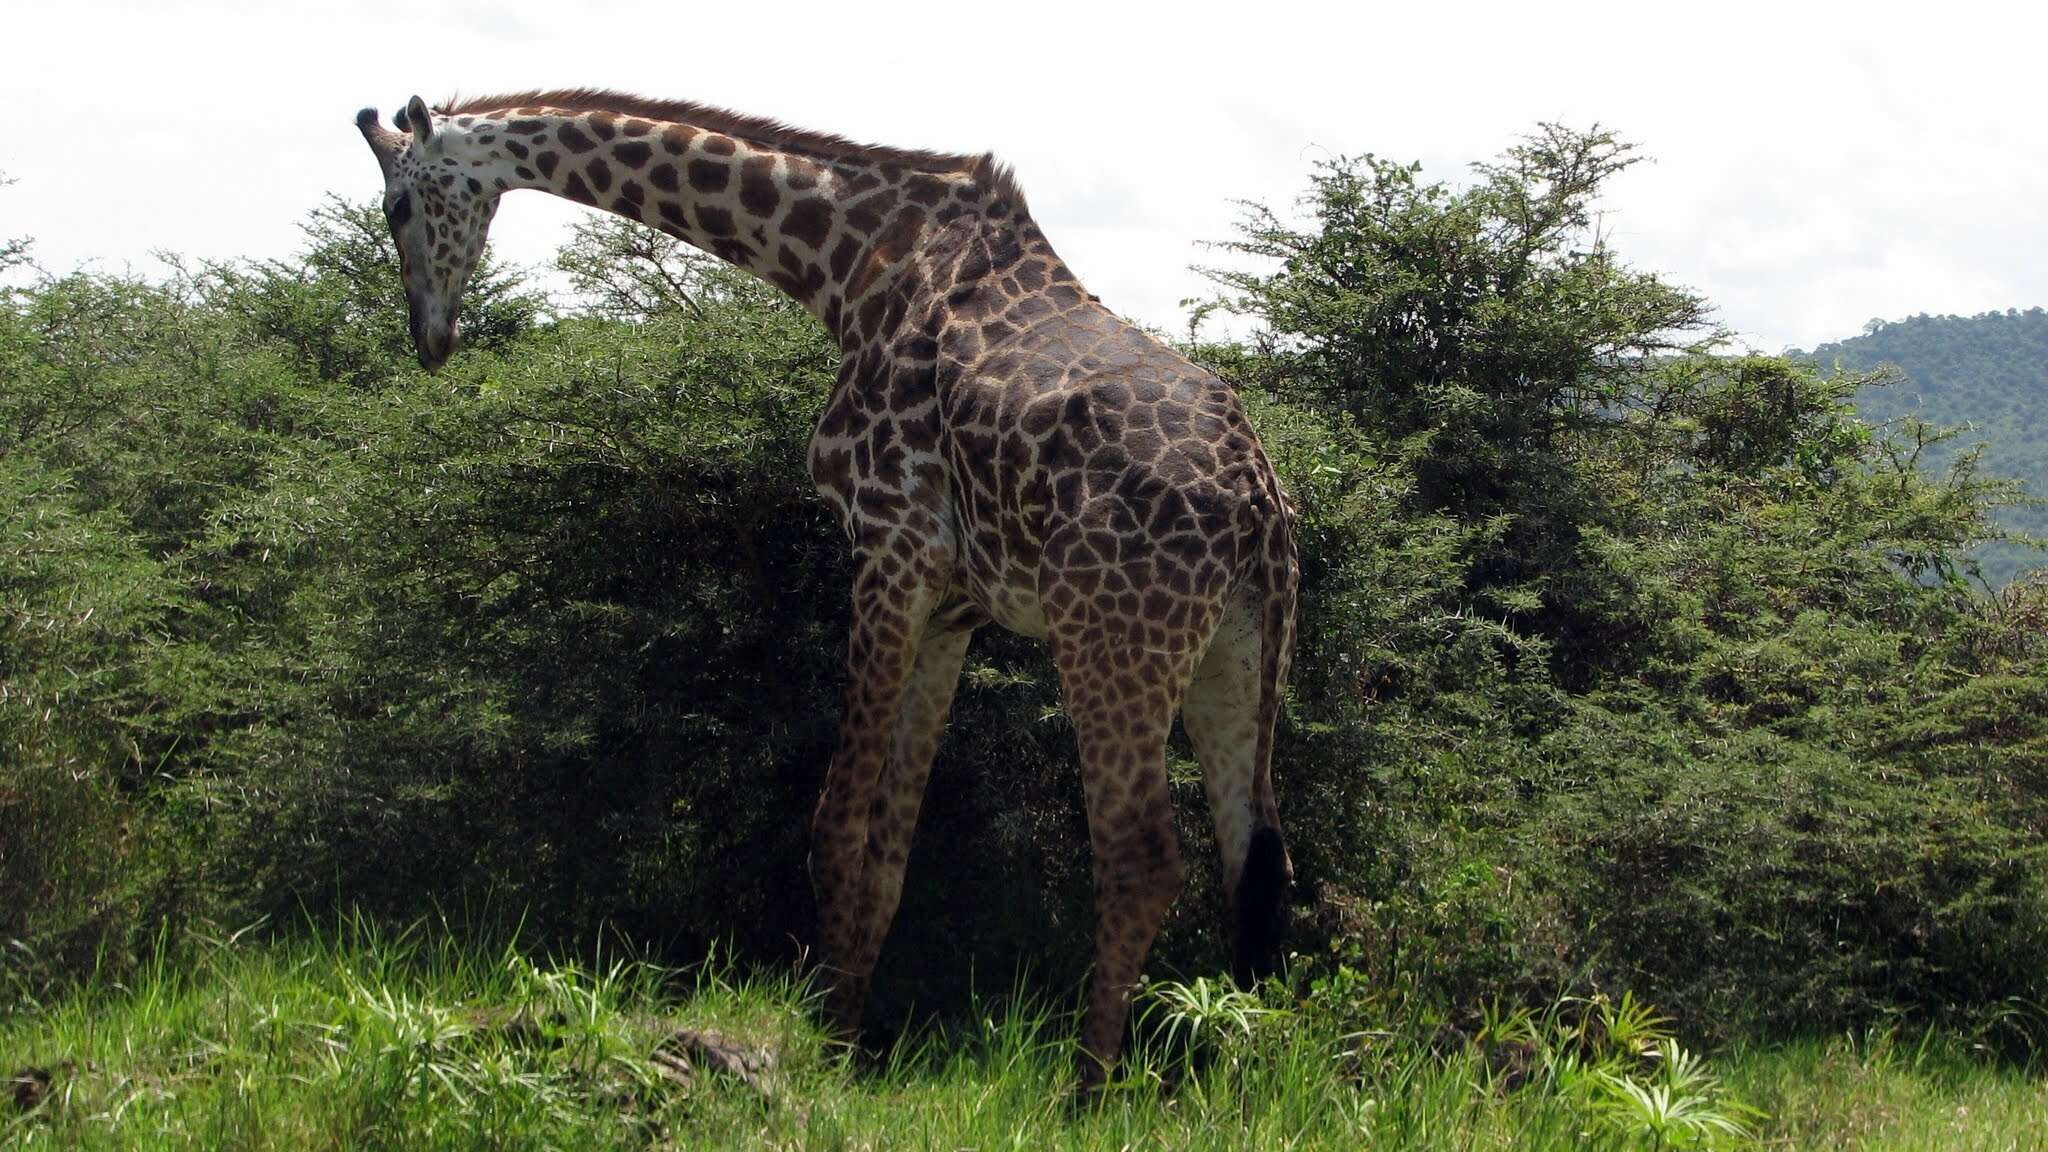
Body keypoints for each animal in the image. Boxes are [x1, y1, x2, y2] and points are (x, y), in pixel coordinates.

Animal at [352, 87, 1294, 1082]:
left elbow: (835, 825)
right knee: (1257, 860)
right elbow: (889, 848)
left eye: (396, 206)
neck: (850, 268)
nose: (430, 339)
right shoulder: (951, 606)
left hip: (1110, 637)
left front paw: (827, 1050)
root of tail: (1256, 499)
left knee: (1142, 857)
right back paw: (1246, 1079)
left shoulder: (888, 544)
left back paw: (1087, 1089)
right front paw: (850, 1037)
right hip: (1240, 651)